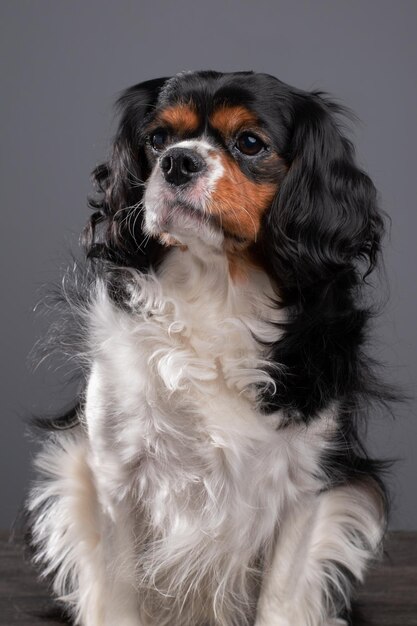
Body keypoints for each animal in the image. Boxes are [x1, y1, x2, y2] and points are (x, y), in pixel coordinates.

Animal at [26, 70, 390, 620]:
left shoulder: (307, 484)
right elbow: (117, 590)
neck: (217, 287)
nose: (179, 160)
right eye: (158, 139)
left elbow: (280, 598)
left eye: (250, 143)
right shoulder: (114, 474)